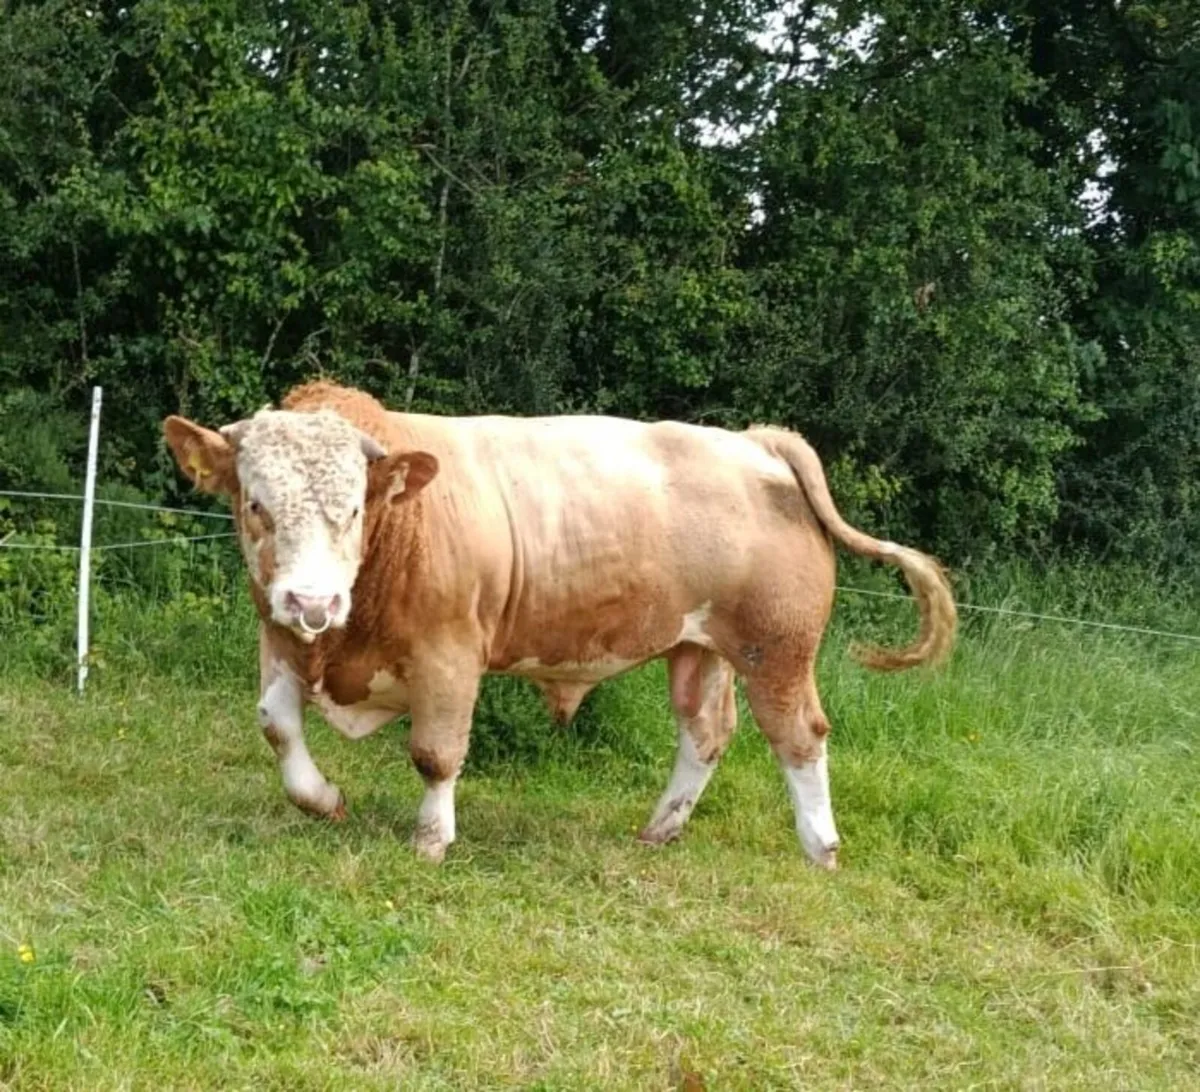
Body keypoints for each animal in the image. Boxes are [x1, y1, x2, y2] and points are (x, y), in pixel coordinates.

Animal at [164, 381, 955, 869]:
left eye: (355, 507)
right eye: (257, 504)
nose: (314, 601)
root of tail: (755, 441)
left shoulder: (449, 655)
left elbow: (436, 754)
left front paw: (432, 839)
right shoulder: (279, 636)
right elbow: (276, 724)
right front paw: (323, 799)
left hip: (778, 649)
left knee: (799, 737)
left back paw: (820, 845)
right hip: (699, 647)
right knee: (705, 732)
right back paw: (661, 827)